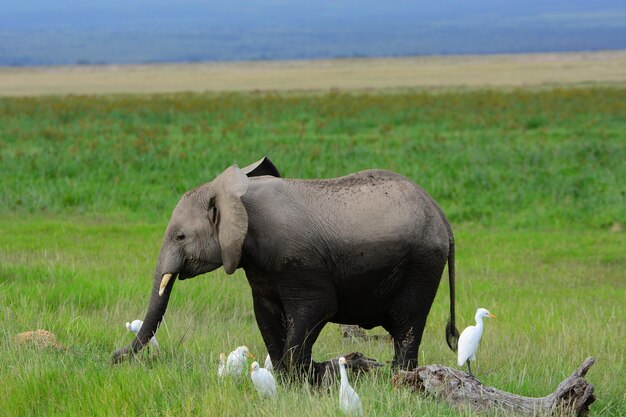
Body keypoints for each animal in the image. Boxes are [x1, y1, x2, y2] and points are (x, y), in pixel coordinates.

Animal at [112, 157, 456, 380]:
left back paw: (398, 377)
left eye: (180, 236)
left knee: (407, 323)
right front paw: (290, 379)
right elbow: (265, 315)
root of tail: (441, 214)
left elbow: (317, 308)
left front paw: (307, 376)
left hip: (422, 263)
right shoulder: (259, 265)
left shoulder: (298, 260)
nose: (113, 357)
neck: (238, 196)